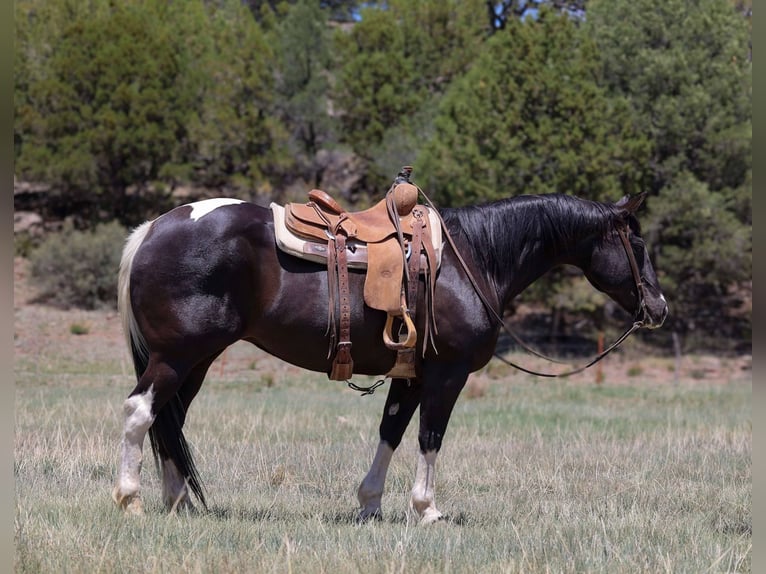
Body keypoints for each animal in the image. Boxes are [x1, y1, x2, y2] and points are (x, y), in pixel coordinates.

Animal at [112, 191, 667, 523]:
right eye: (638, 244)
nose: (659, 308)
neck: (473, 258)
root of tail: (154, 227)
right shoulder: (447, 375)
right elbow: (429, 437)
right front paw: (427, 510)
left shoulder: (411, 375)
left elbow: (391, 431)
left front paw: (370, 505)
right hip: (176, 356)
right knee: (141, 412)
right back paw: (130, 498)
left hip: (196, 360)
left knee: (170, 421)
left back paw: (178, 503)